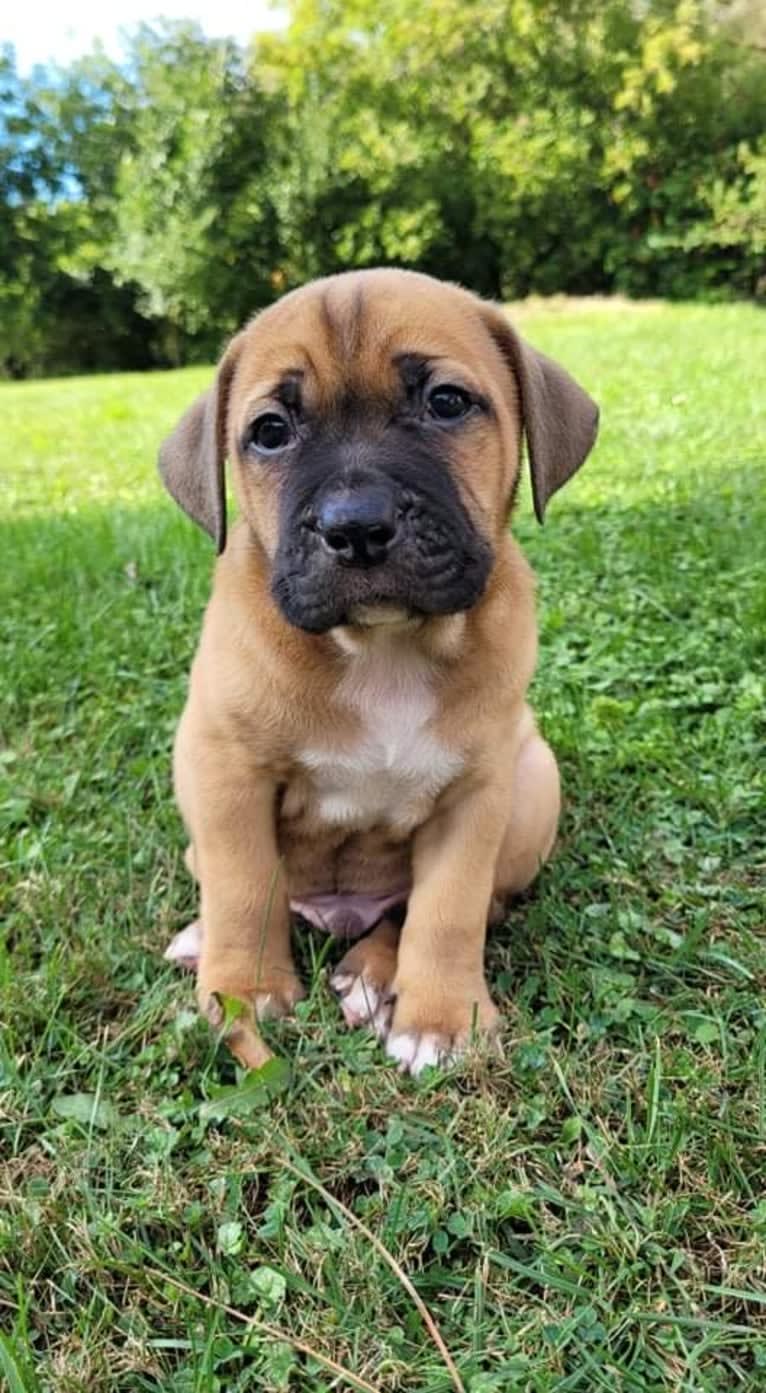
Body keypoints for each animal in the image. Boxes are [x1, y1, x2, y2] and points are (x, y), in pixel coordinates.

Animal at [157, 271, 601, 1075]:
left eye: (447, 402)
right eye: (270, 431)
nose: (356, 526)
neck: (382, 650)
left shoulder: (476, 794)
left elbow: (449, 909)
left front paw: (439, 1020)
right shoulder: (224, 771)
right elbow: (245, 884)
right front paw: (245, 992)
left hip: (534, 784)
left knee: (440, 907)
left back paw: (373, 971)